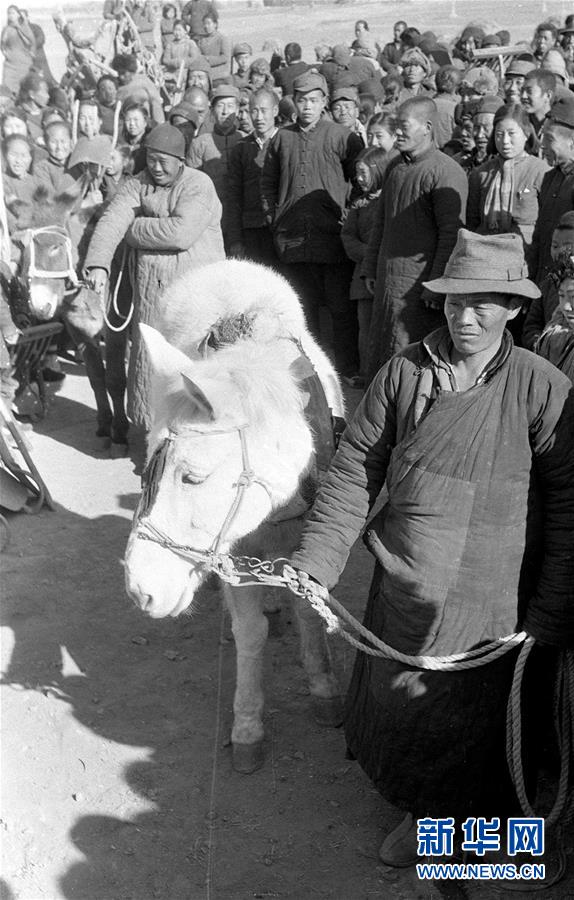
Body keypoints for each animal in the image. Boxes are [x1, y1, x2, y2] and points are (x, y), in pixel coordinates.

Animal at [126, 260, 346, 772]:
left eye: (192, 477)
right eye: (148, 470)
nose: (139, 590)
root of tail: (225, 265)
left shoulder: (310, 539)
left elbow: (309, 612)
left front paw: (324, 689)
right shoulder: (235, 552)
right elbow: (251, 633)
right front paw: (247, 726)